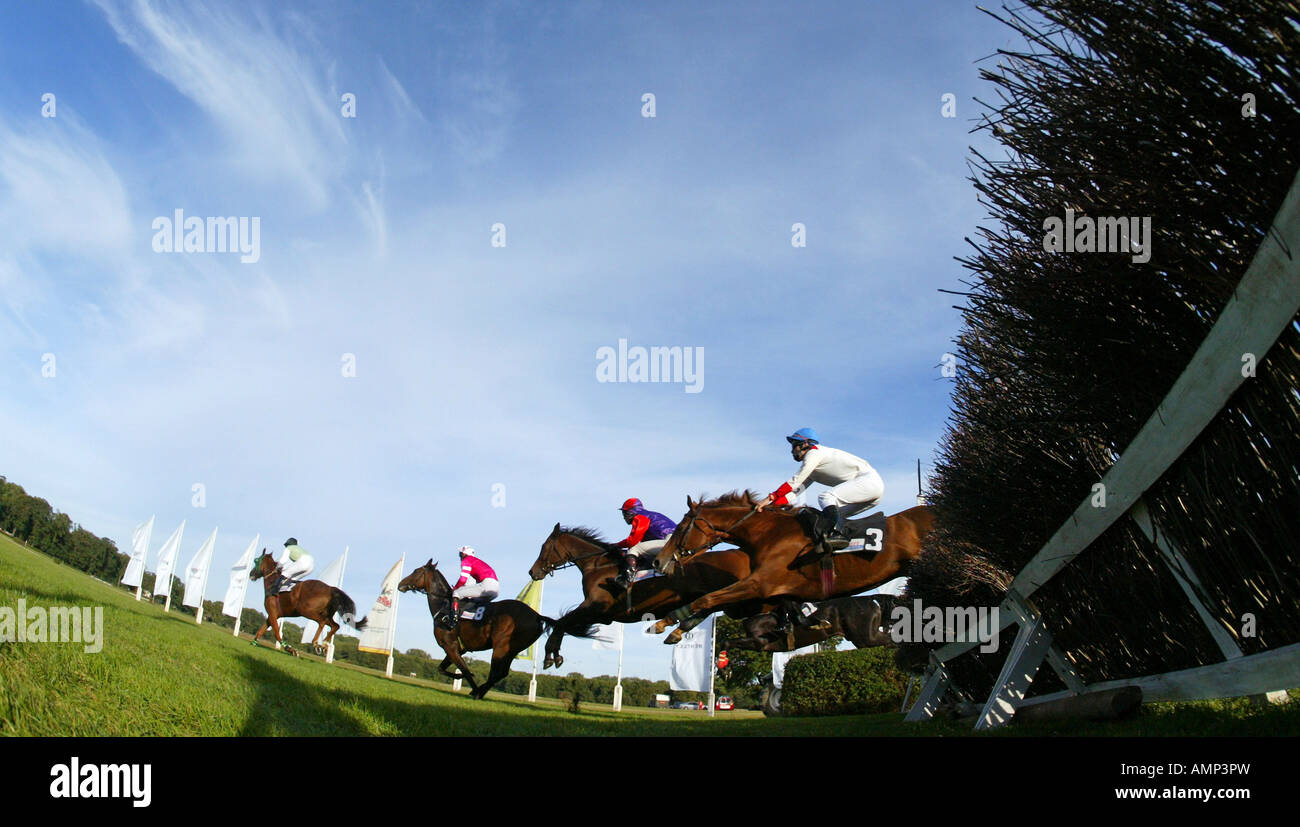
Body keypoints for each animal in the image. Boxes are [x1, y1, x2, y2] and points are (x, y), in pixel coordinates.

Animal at [397, 559, 556, 702]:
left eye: (416, 571)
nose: (400, 584)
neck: (443, 606)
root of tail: (537, 615)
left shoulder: (450, 647)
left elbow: (465, 670)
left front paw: (471, 685)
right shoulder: (457, 649)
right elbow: (442, 669)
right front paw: (464, 680)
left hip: (501, 647)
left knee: (496, 673)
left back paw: (478, 692)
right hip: (512, 650)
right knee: (502, 673)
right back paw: (480, 691)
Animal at [522, 525, 774, 670]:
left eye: (544, 547)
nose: (533, 572)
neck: (597, 566)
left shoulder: (594, 607)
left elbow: (561, 623)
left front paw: (550, 655)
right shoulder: (600, 615)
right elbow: (563, 623)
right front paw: (555, 654)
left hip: (738, 600)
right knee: (705, 608)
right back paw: (673, 629)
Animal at [655, 491, 930, 644]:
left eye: (681, 527)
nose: (659, 561)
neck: (767, 534)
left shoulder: (758, 585)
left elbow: (705, 599)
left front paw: (666, 623)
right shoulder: (768, 596)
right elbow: (710, 603)